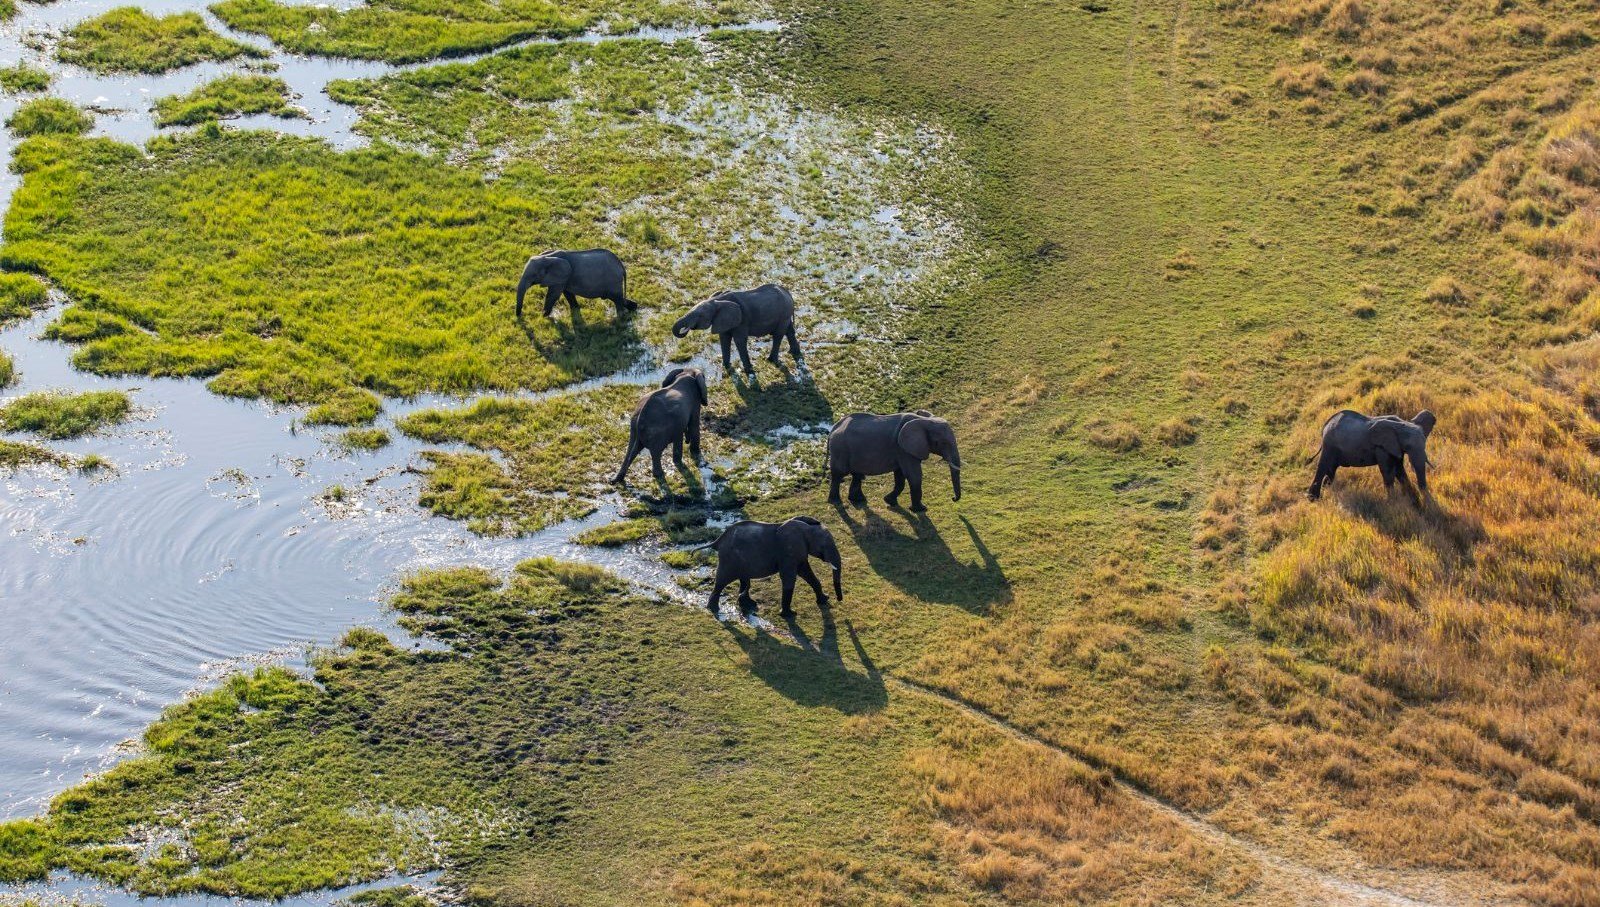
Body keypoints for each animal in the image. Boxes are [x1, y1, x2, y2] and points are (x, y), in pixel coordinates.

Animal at [672, 279, 806, 372]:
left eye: (700, 316)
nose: (685, 329)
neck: (717, 300)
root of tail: (788, 293)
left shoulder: (742, 320)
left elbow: (739, 341)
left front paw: (749, 371)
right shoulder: (723, 320)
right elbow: (724, 339)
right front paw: (727, 367)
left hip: (783, 314)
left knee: (778, 335)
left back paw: (771, 360)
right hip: (785, 315)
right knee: (789, 331)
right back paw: (794, 353)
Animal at [707, 518, 844, 617]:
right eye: (824, 545)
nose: (839, 599)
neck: (806, 528)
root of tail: (717, 541)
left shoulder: (798, 552)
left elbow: (807, 573)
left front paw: (824, 600)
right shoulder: (788, 551)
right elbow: (789, 577)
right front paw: (790, 615)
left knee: (744, 580)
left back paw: (749, 604)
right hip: (729, 560)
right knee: (721, 582)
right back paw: (713, 609)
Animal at [825, 409, 960, 511]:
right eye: (942, 443)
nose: (953, 499)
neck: (924, 420)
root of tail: (834, 428)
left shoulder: (902, 450)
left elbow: (900, 476)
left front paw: (890, 501)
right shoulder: (903, 449)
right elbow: (914, 475)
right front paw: (921, 509)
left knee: (857, 474)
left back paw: (858, 499)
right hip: (840, 449)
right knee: (839, 474)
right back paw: (835, 501)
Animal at [1312, 412, 1440, 505]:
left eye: (1424, 444)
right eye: (1408, 446)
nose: (1425, 503)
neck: (1401, 425)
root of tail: (1325, 425)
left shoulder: (1395, 447)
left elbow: (1400, 471)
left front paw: (1414, 504)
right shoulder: (1381, 448)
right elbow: (1388, 473)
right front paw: (1392, 504)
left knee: (1331, 470)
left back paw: (1328, 490)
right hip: (1329, 444)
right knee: (1322, 466)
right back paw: (1313, 499)